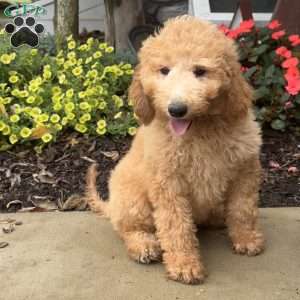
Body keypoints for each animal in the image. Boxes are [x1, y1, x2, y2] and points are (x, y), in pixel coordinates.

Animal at [85, 15, 264, 284]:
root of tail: (112, 205)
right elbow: (175, 225)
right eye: (164, 70)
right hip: (133, 200)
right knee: (128, 229)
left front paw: (247, 238)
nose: (177, 109)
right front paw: (184, 265)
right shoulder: (167, 182)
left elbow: (243, 208)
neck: (199, 130)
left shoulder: (245, 169)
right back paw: (144, 246)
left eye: (200, 71)